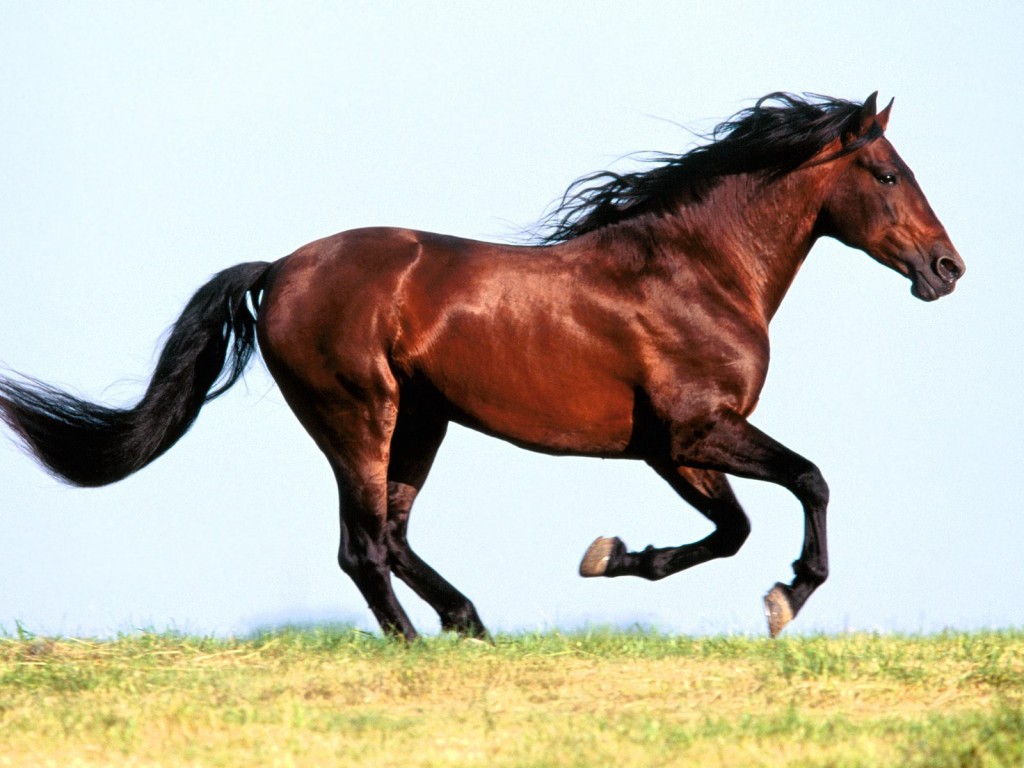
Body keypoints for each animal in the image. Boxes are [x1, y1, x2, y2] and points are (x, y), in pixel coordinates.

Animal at [0, 93, 962, 638]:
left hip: (421, 421)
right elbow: (807, 482)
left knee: (390, 535)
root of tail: (278, 271)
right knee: (362, 546)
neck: (696, 269)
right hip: (359, 416)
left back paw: (467, 624)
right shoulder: (697, 430)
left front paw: (612, 557)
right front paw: (787, 597)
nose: (947, 268)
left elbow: (733, 529)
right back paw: (423, 644)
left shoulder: (670, 448)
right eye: (886, 173)